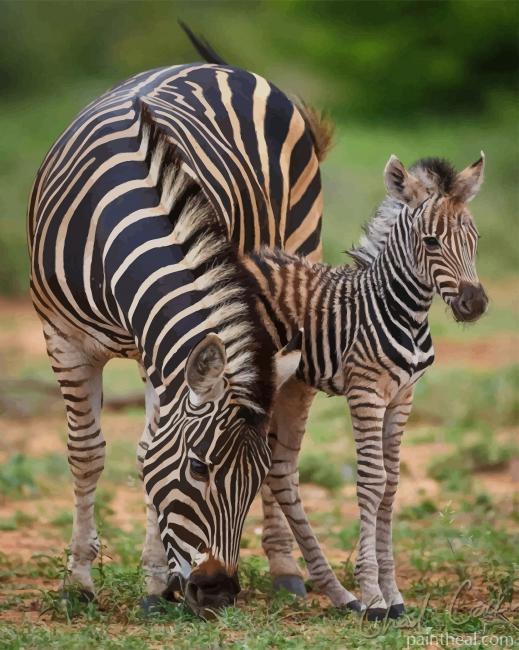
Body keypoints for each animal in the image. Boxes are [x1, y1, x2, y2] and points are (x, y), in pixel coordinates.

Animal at [27, 57, 345, 617]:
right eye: (197, 467)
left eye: (251, 478)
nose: (218, 592)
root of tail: (219, 66)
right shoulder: (62, 336)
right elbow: (88, 454)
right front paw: (78, 582)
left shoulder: (156, 348)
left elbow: (146, 452)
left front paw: (155, 585)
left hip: (299, 247)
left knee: (286, 444)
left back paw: (284, 568)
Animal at [242, 154, 488, 619]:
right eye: (431, 242)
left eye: (475, 238)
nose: (476, 304)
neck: (403, 312)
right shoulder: (366, 393)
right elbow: (372, 481)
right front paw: (374, 596)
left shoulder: (403, 396)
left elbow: (391, 485)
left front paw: (392, 594)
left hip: (289, 384)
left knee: (279, 471)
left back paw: (336, 592)